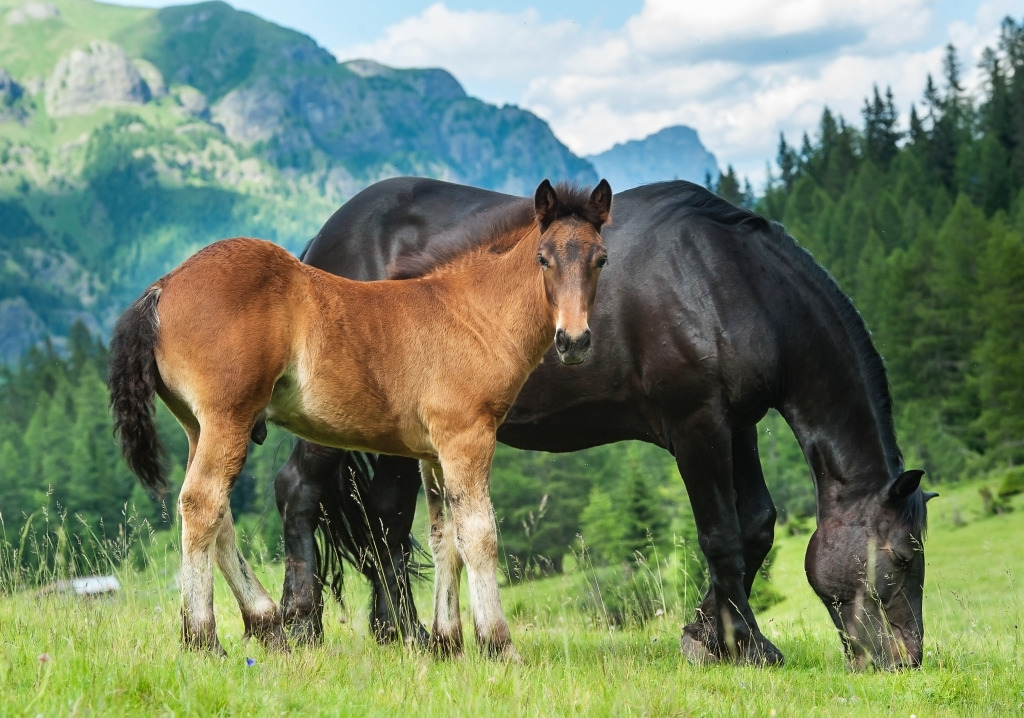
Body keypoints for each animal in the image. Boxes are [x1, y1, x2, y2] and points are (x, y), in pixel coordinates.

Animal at [108, 178, 610, 655]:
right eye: (543, 258)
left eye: (601, 259)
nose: (574, 341)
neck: (470, 312)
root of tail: (163, 286)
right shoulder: (467, 436)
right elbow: (478, 534)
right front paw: (498, 645)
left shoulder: (433, 452)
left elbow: (443, 536)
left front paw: (447, 644)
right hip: (227, 417)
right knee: (202, 503)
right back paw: (204, 639)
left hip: (198, 425)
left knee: (218, 513)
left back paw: (266, 625)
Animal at [274, 176, 937, 667]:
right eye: (903, 558)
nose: (904, 659)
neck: (725, 280)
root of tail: (317, 243)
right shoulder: (696, 424)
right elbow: (720, 535)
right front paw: (745, 645)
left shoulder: (737, 425)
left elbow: (755, 527)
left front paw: (710, 635)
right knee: (298, 491)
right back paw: (297, 626)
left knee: (386, 520)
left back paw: (406, 635)